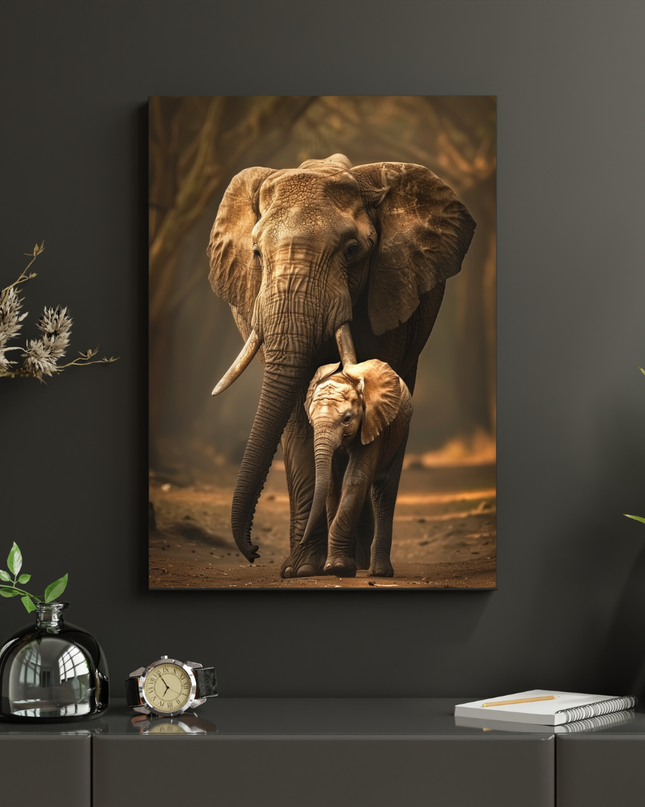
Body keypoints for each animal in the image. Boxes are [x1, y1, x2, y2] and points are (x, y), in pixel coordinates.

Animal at [301, 359, 413, 577]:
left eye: (347, 419)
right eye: (311, 418)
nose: (302, 542)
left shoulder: (374, 423)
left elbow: (355, 479)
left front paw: (339, 568)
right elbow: (333, 484)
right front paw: (336, 567)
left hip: (401, 432)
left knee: (384, 492)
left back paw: (380, 572)